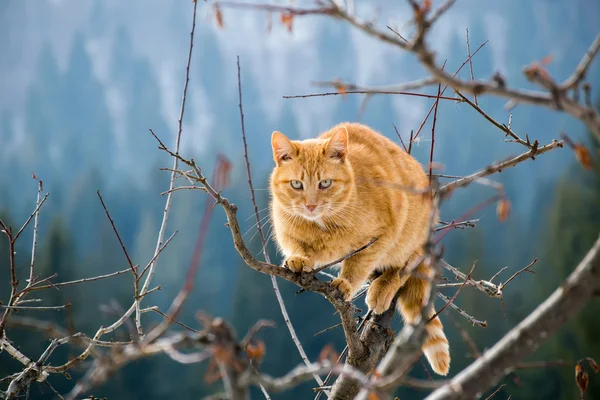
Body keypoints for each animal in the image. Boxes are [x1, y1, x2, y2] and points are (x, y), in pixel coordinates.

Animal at [268, 122, 450, 376]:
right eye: (297, 184)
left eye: (325, 183)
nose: (311, 205)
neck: (322, 225)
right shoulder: (285, 229)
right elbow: (297, 246)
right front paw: (298, 259)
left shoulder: (381, 237)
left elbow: (358, 265)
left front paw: (346, 283)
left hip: (413, 239)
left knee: (403, 267)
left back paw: (382, 289)